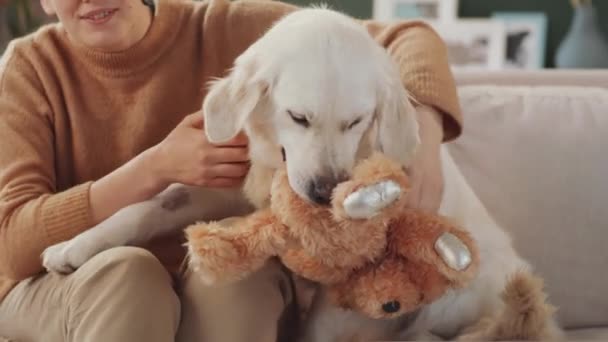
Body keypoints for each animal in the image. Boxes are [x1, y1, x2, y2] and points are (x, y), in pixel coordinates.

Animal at [42, 6, 564, 342]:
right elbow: (144, 207)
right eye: (298, 117)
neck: (277, 168)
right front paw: (74, 246)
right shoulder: (223, 185)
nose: (323, 192)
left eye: (356, 122)